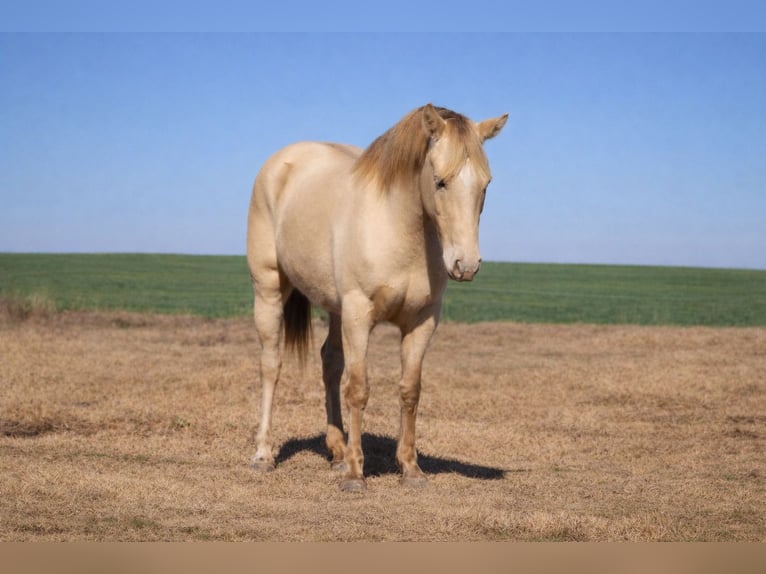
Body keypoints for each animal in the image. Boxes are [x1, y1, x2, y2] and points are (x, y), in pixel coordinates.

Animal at [246, 104, 508, 491]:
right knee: (271, 366)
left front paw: (411, 470)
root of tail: (280, 163)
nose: (466, 264)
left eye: (485, 185)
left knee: (330, 363)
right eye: (440, 181)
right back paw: (264, 454)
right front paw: (356, 474)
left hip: (335, 308)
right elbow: (358, 389)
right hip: (269, 291)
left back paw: (337, 451)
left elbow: (410, 390)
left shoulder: (422, 322)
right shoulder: (359, 314)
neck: (399, 227)